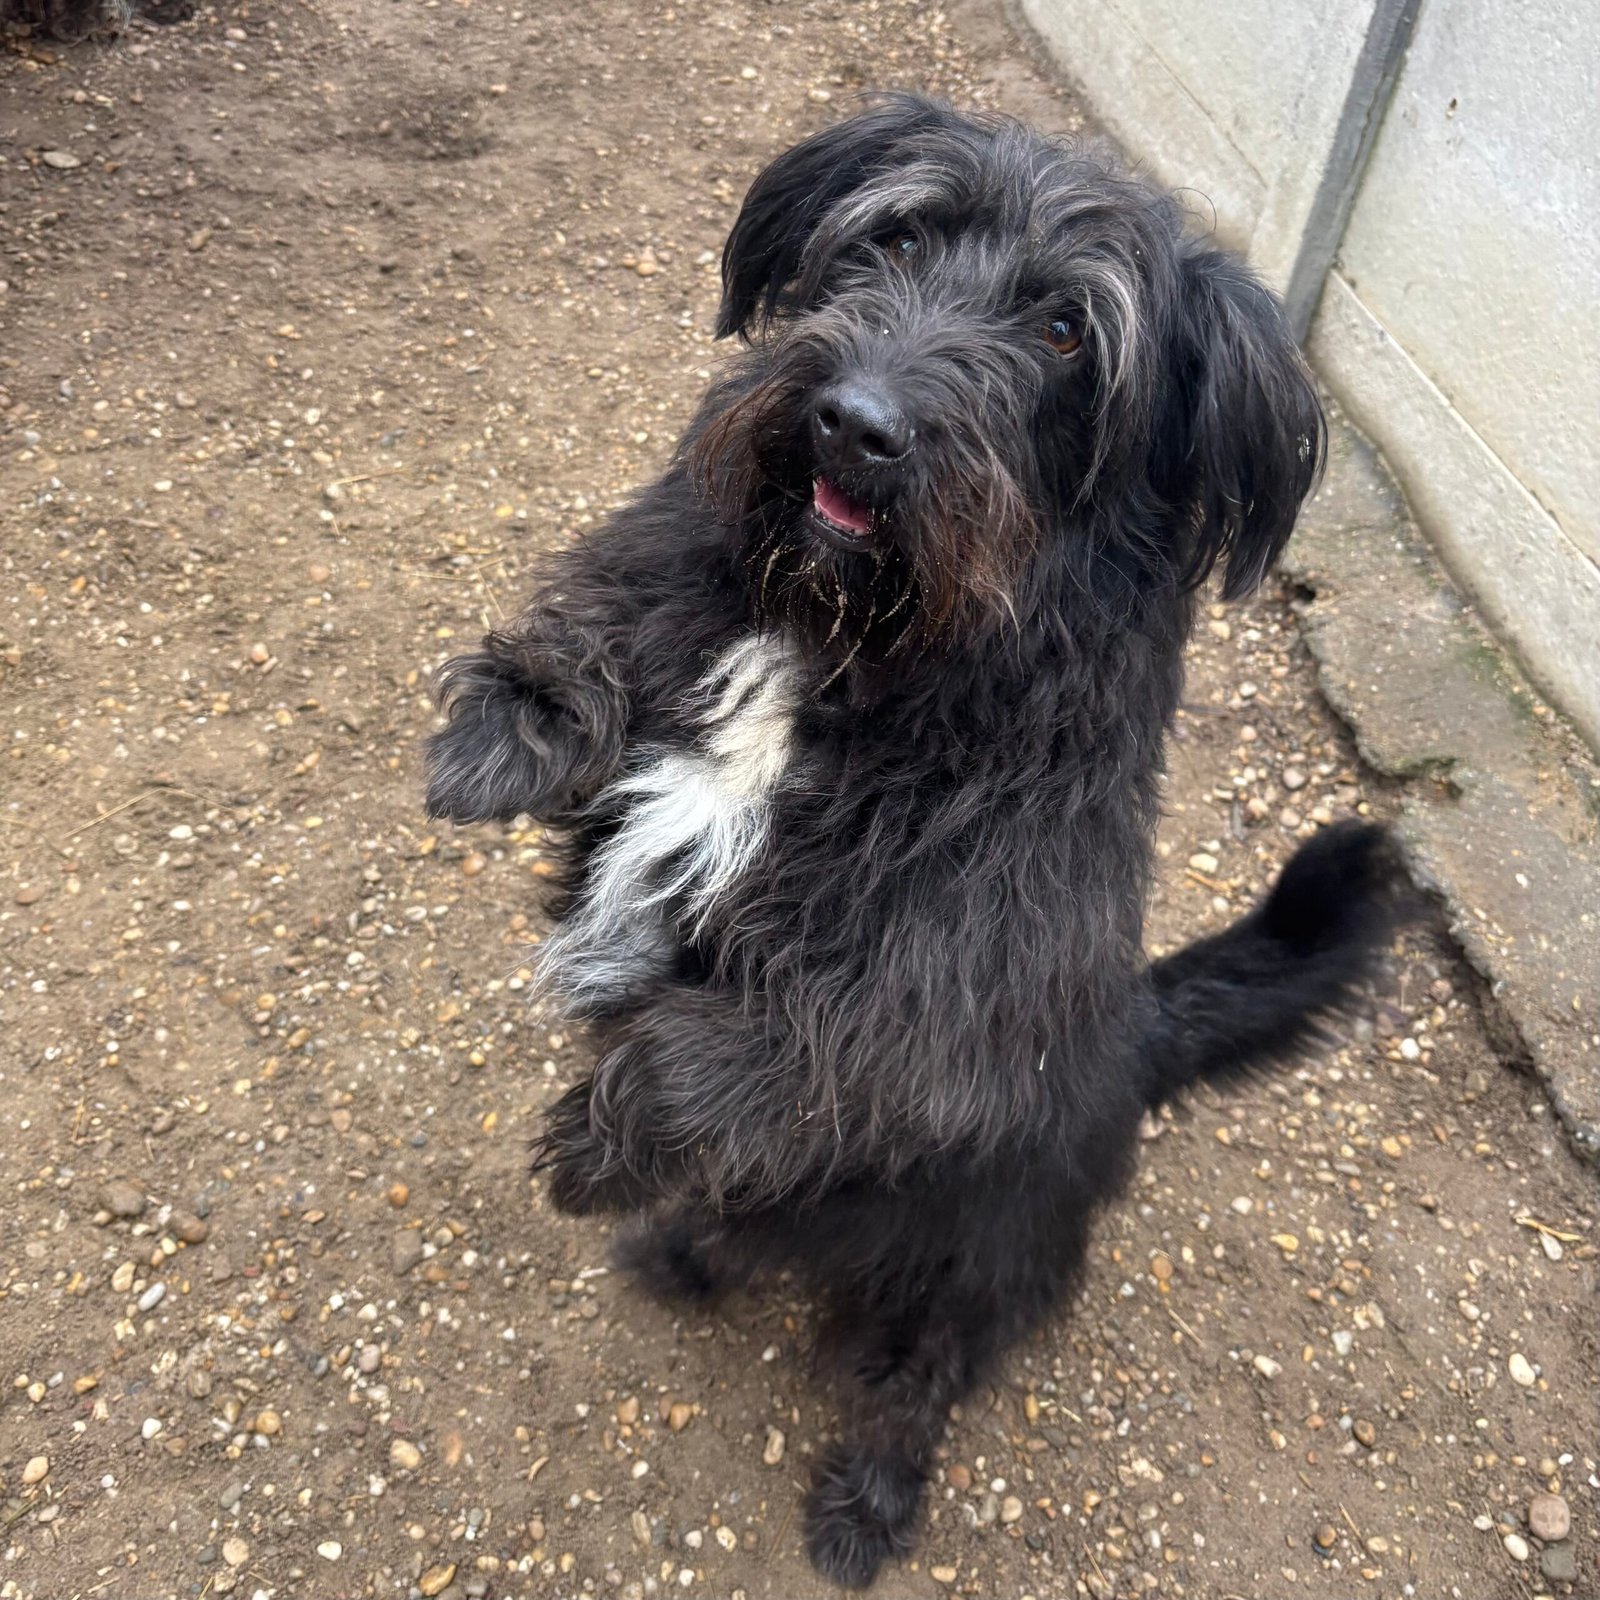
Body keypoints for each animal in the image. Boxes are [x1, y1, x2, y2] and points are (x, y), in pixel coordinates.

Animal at [424, 95, 1404, 1588]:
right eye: (898, 235)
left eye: (1065, 332)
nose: (854, 423)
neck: (852, 637)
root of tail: (1136, 1030)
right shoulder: (630, 799)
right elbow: (627, 619)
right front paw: (518, 715)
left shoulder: (940, 1007)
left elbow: (726, 1051)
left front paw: (592, 1152)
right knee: (753, 1224)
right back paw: (689, 1250)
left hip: (971, 1263)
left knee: (913, 1379)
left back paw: (866, 1497)